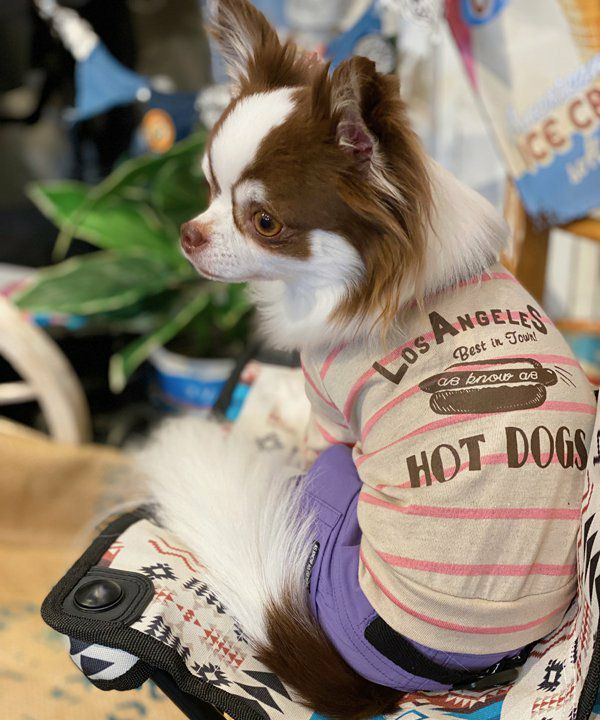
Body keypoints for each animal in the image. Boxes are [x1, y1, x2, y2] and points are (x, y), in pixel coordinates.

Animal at [139, 2, 596, 718]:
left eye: (265, 222)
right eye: (208, 187)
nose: (189, 234)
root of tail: (377, 683)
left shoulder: (329, 412)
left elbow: (318, 432)